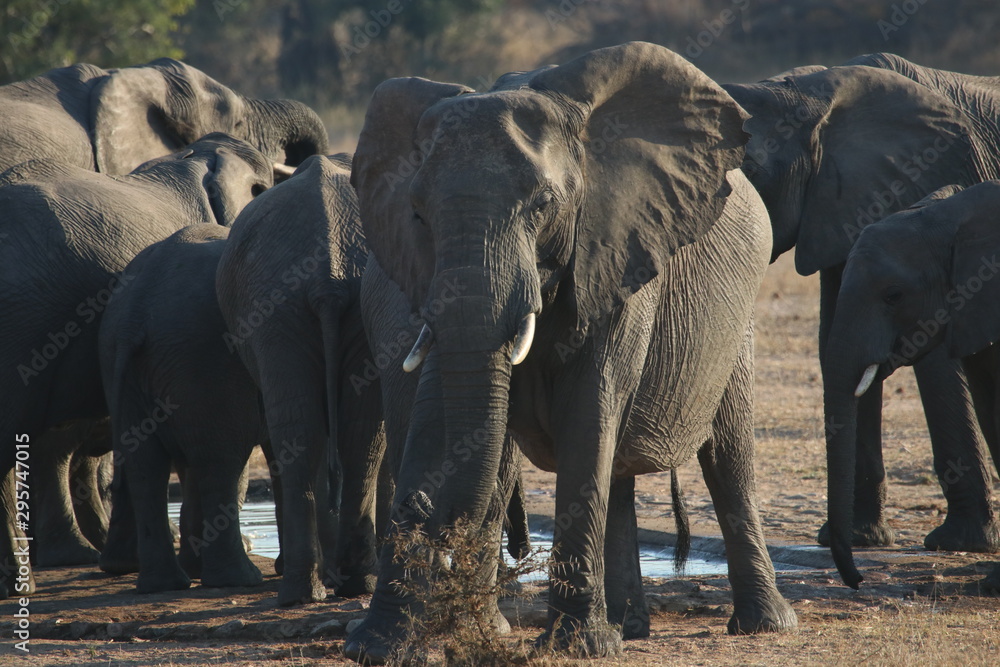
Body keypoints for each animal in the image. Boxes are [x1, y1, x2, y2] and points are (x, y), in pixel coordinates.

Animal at [98, 223, 270, 592]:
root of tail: (135, 311)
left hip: (120, 357)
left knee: (145, 465)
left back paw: (159, 582)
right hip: (203, 356)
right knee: (222, 461)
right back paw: (239, 579)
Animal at [216, 154, 385, 606]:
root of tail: (329, 277)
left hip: (279, 306)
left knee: (316, 433)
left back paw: (314, 588)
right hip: (289, 306)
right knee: (349, 434)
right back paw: (339, 585)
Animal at [344, 42, 797, 663]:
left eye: (542, 206)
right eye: (416, 212)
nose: (431, 522)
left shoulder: (616, 251)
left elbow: (588, 408)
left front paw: (580, 646)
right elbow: (436, 413)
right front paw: (378, 644)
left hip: (738, 318)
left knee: (727, 456)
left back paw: (763, 625)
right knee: (616, 470)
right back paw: (630, 627)